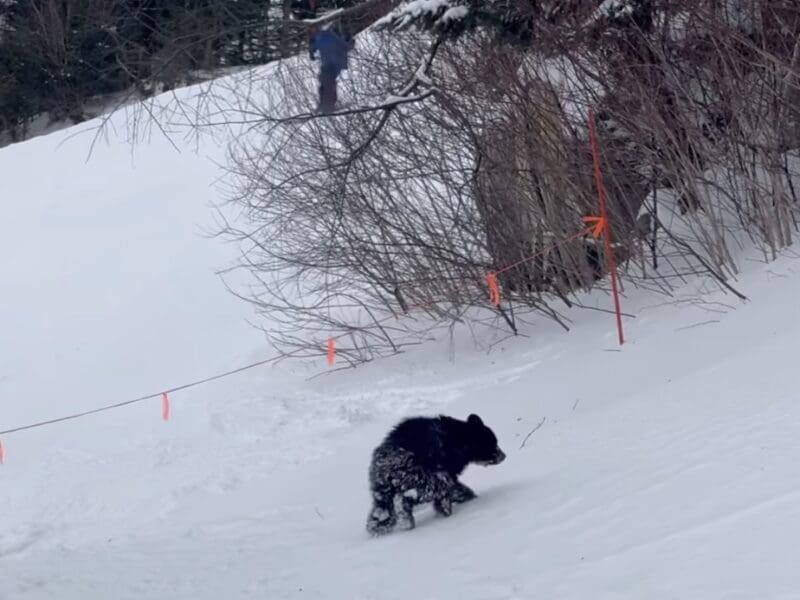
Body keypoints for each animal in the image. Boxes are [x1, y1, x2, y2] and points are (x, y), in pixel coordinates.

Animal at [366, 413, 506, 535]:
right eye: (492, 443)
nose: (504, 456)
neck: (460, 439)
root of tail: (387, 463)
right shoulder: (445, 467)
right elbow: (452, 487)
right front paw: (460, 501)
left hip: (382, 487)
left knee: (382, 508)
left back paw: (377, 527)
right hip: (417, 475)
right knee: (416, 494)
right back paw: (407, 517)